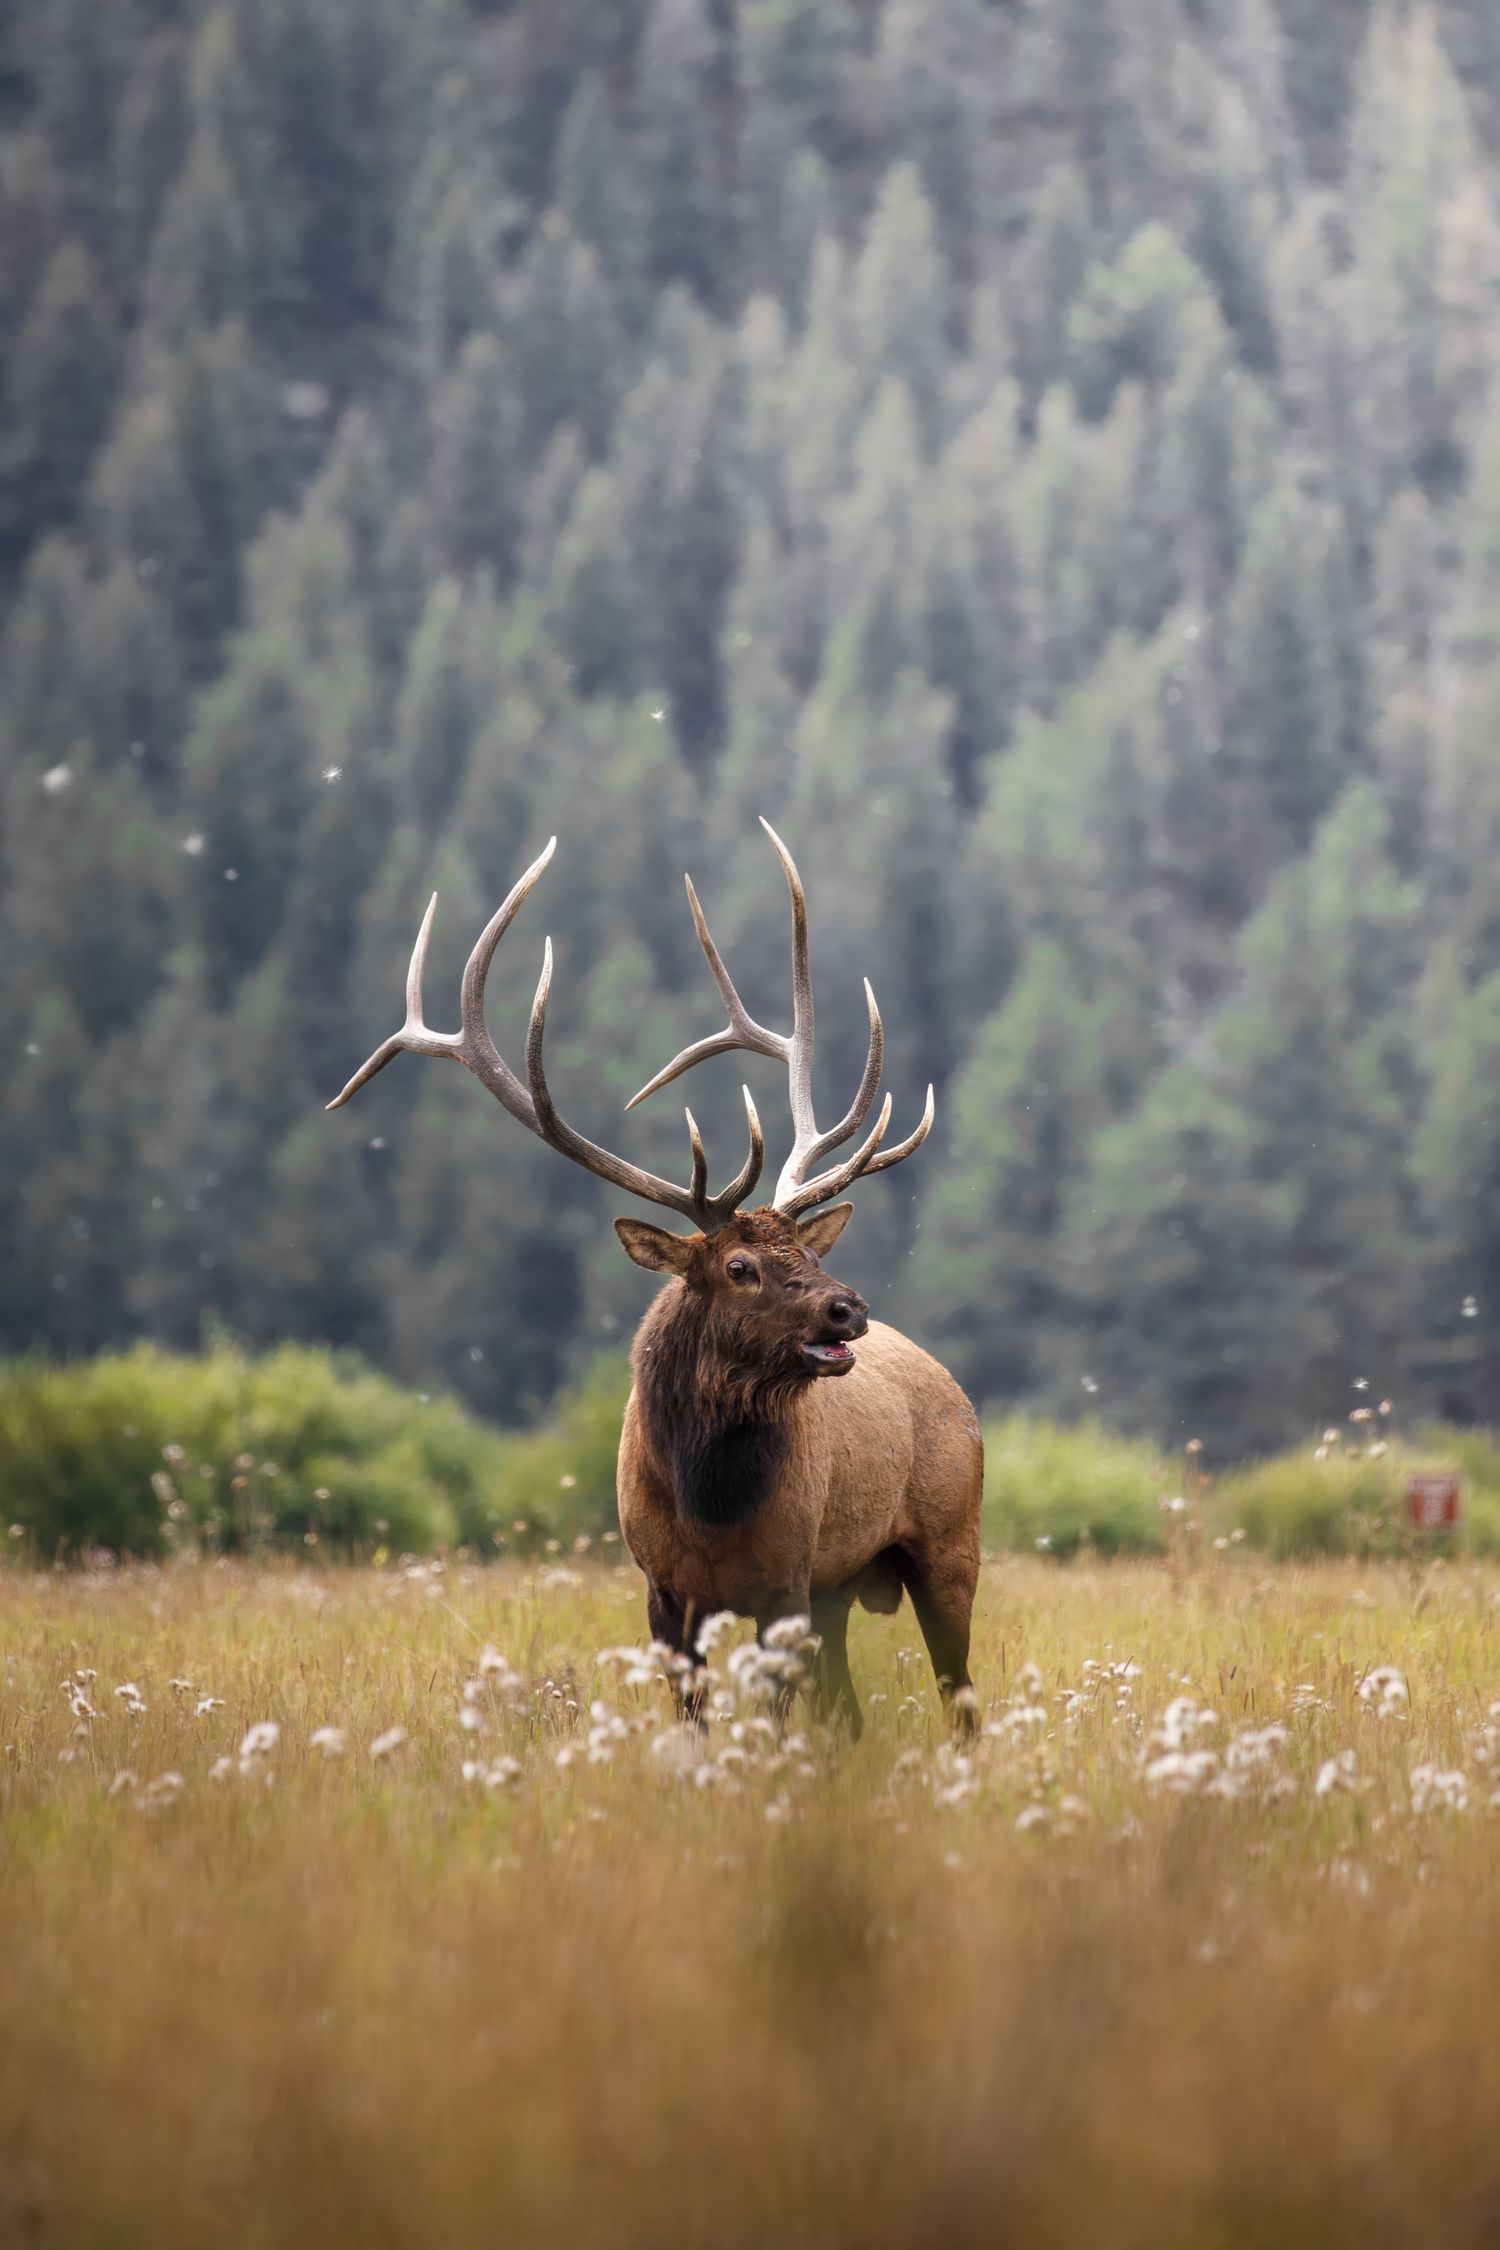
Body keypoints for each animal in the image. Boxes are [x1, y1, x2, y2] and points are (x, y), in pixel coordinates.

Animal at [328, 822, 982, 1737]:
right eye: (740, 1266)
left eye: (810, 1255)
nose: (847, 1308)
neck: (710, 1505)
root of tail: (950, 1383)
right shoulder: (663, 1591)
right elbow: (696, 1718)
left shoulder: (787, 1580)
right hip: (843, 1589)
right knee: (852, 1711)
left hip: (950, 1545)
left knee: (960, 1696)